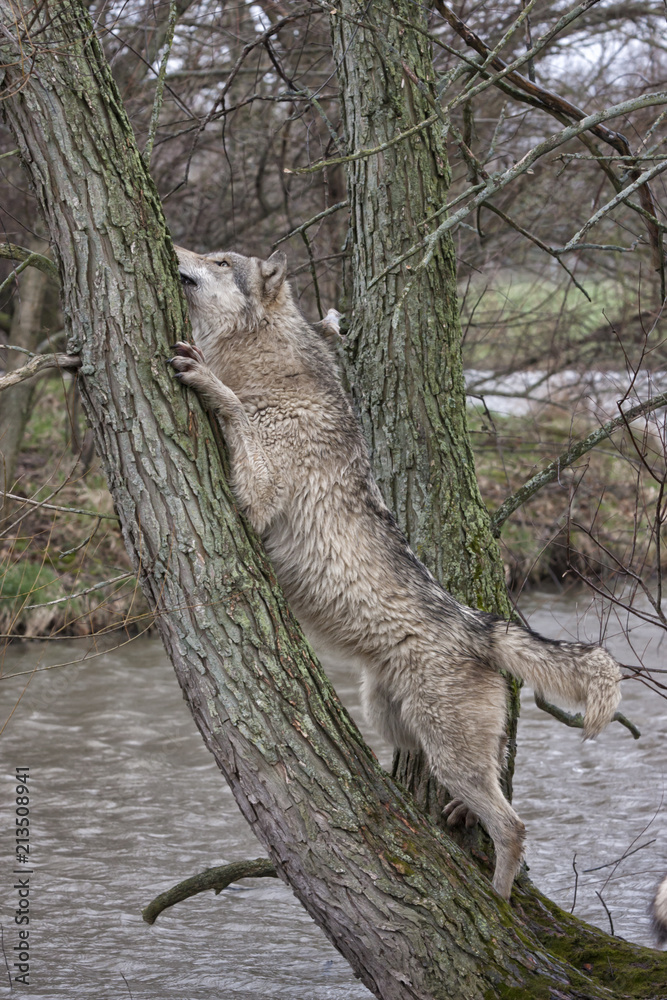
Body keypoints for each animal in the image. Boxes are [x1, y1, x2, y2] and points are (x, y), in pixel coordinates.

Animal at [169, 245, 622, 900]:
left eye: (222, 260)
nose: (175, 248)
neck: (276, 373)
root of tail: (483, 626)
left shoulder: (254, 499)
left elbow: (230, 406)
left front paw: (205, 376)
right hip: (395, 723)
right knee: (497, 765)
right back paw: (463, 817)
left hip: (444, 748)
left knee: (513, 825)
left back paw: (498, 896)